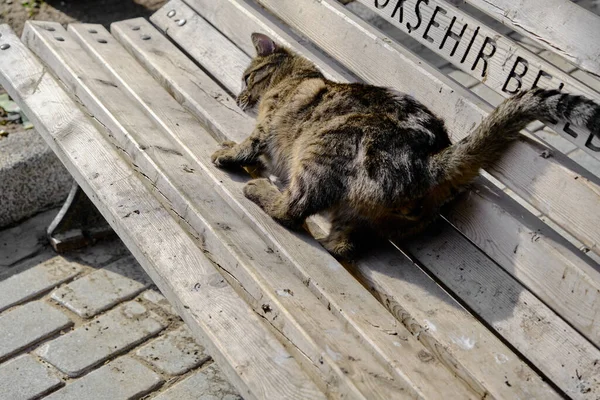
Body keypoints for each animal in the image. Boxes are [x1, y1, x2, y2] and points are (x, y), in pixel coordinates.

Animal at [212, 31, 600, 256]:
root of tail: (430, 161)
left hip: (326, 144)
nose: (238, 97)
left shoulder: (267, 127)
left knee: (291, 210)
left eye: (247, 77)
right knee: (341, 245)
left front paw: (228, 152)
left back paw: (262, 191)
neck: (298, 78)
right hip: (357, 211)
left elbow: (249, 144)